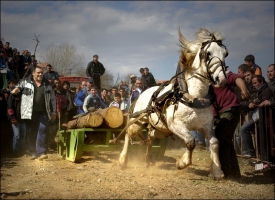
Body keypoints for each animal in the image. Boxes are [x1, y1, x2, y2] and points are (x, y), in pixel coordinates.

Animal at [119, 28, 230, 180]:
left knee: (150, 138)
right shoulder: (175, 124)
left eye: (226, 53)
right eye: (208, 53)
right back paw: (123, 160)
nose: (222, 80)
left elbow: (214, 143)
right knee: (127, 135)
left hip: (160, 129)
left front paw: (217, 171)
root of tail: (142, 93)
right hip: (137, 123)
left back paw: (148, 160)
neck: (193, 97)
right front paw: (182, 163)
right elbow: (190, 141)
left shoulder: (205, 126)